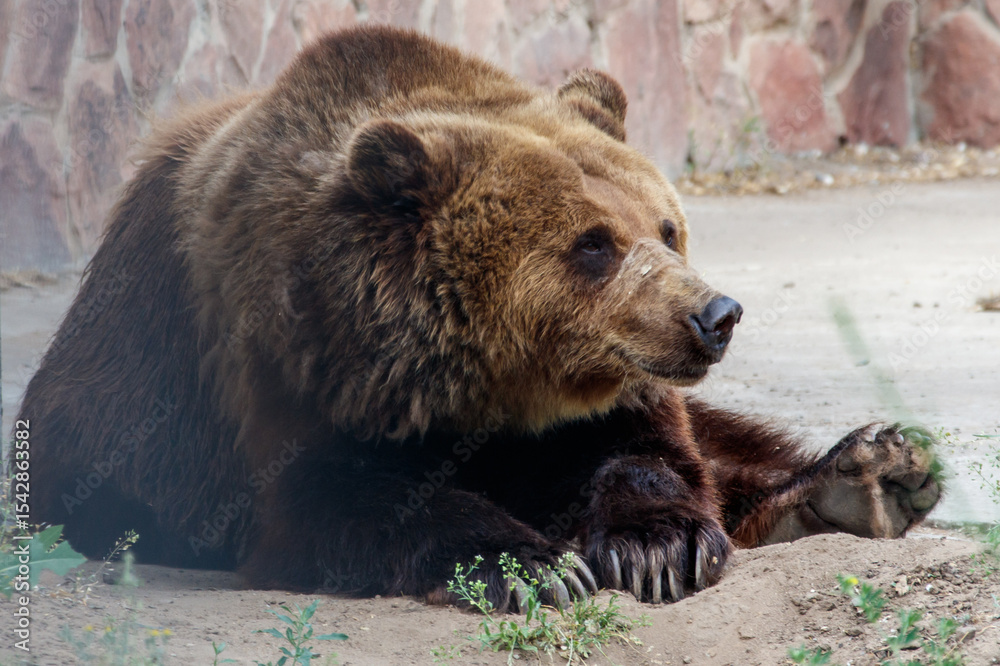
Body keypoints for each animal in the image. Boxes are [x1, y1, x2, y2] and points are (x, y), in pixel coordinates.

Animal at [13, 25, 941, 610]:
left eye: (667, 227)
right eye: (595, 245)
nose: (715, 313)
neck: (484, 384)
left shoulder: (608, 399)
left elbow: (661, 457)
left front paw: (655, 546)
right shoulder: (291, 366)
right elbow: (338, 501)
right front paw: (533, 565)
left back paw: (872, 473)